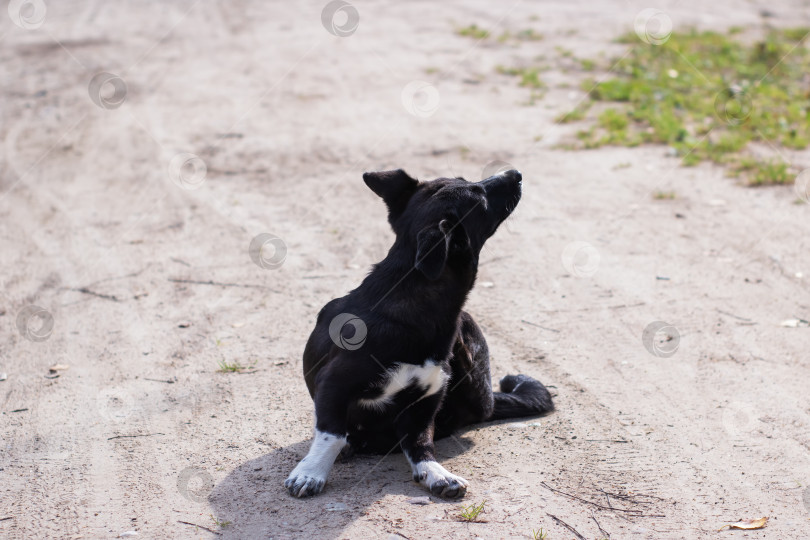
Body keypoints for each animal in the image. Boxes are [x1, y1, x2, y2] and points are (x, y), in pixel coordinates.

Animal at [282, 169, 548, 498]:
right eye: (480, 199)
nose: (515, 173)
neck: (414, 298)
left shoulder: (428, 397)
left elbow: (420, 440)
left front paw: (434, 473)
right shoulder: (333, 384)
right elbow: (331, 434)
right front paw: (311, 472)